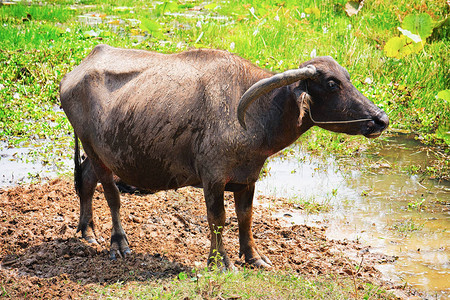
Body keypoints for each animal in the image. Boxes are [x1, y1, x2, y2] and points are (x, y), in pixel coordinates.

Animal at [59, 44, 388, 268]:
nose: (381, 119)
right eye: (332, 83)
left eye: (348, 77)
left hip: (101, 152)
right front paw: (220, 261)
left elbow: (246, 217)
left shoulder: (248, 178)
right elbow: (217, 218)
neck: (259, 114)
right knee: (111, 195)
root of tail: (75, 73)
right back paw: (119, 244)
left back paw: (87, 233)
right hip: (94, 150)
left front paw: (254, 257)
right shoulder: (213, 179)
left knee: (85, 180)